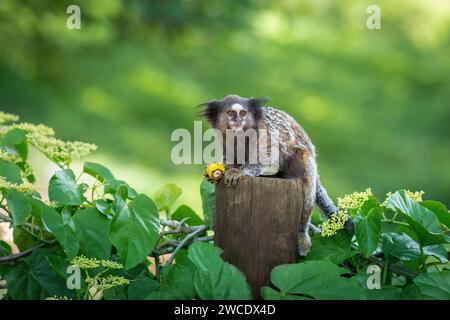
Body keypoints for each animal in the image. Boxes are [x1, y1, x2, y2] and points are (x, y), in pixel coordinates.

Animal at [201, 94, 348, 256]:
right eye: (230, 113)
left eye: (243, 113)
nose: (238, 120)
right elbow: (232, 158)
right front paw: (224, 169)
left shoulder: (264, 132)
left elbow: (268, 155)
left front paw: (240, 171)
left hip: (306, 162)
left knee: (308, 190)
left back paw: (302, 234)